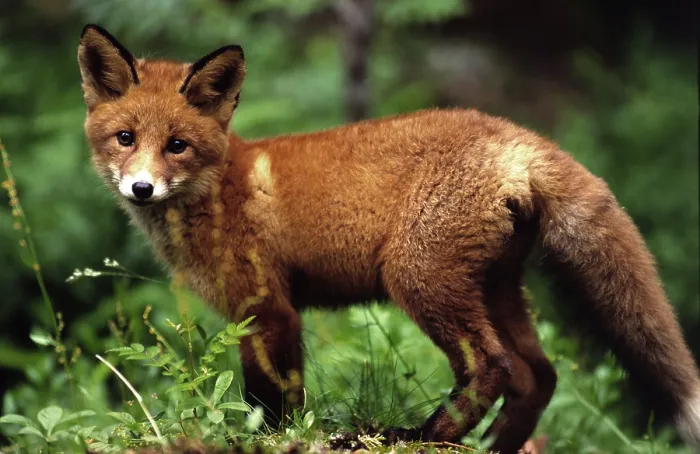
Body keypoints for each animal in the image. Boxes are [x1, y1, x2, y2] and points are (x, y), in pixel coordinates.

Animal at [77, 24, 700, 453]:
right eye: (125, 138)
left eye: (177, 145)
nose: (141, 188)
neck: (219, 186)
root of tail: (514, 134)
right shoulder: (273, 315)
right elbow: (288, 398)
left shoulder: (267, 309)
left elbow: (269, 404)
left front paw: (266, 438)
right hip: (494, 288)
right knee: (537, 376)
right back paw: (488, 446)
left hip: (418, 277)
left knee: (495, 367)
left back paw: (422, 435)